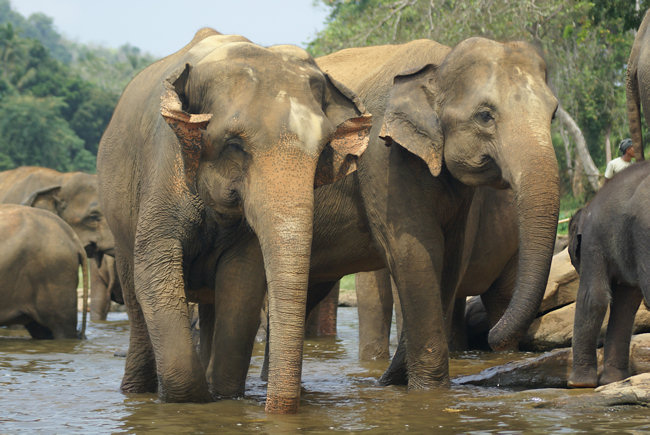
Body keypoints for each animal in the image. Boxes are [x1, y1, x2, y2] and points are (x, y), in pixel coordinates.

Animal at [95, 28, 370, 412]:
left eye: (322, 152)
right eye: (235, 145)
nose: (273, 408)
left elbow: (242, 280)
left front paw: (223, 396)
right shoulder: (164, 164)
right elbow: (155, 266)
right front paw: (191, 401)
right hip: (119, 217)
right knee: (134, 294)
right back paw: (136, 391)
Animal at [223, 36, 556, 398]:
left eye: (553, 114)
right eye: (485, 115)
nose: (492, 339)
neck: (439, 64)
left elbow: (450, 257)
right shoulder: (381, 157)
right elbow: (416, 251)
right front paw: (430, 394)